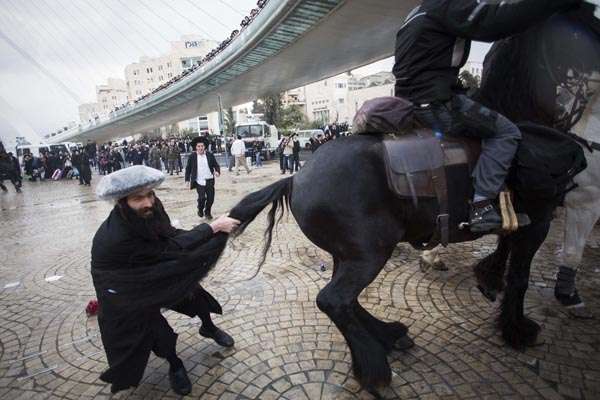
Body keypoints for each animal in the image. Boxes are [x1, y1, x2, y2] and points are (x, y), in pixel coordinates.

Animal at [225, 4, 600, 390]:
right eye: (588, 28)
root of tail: (297, 177)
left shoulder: (521, 218)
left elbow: (505, 252)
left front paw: (489, 279)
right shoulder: (538, 220)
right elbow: (520, 276)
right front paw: (517, 328)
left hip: (349, 252)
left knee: (346, 300)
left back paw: (387, 335)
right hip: (371, 251)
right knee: (334, 300)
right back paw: (373, 366)